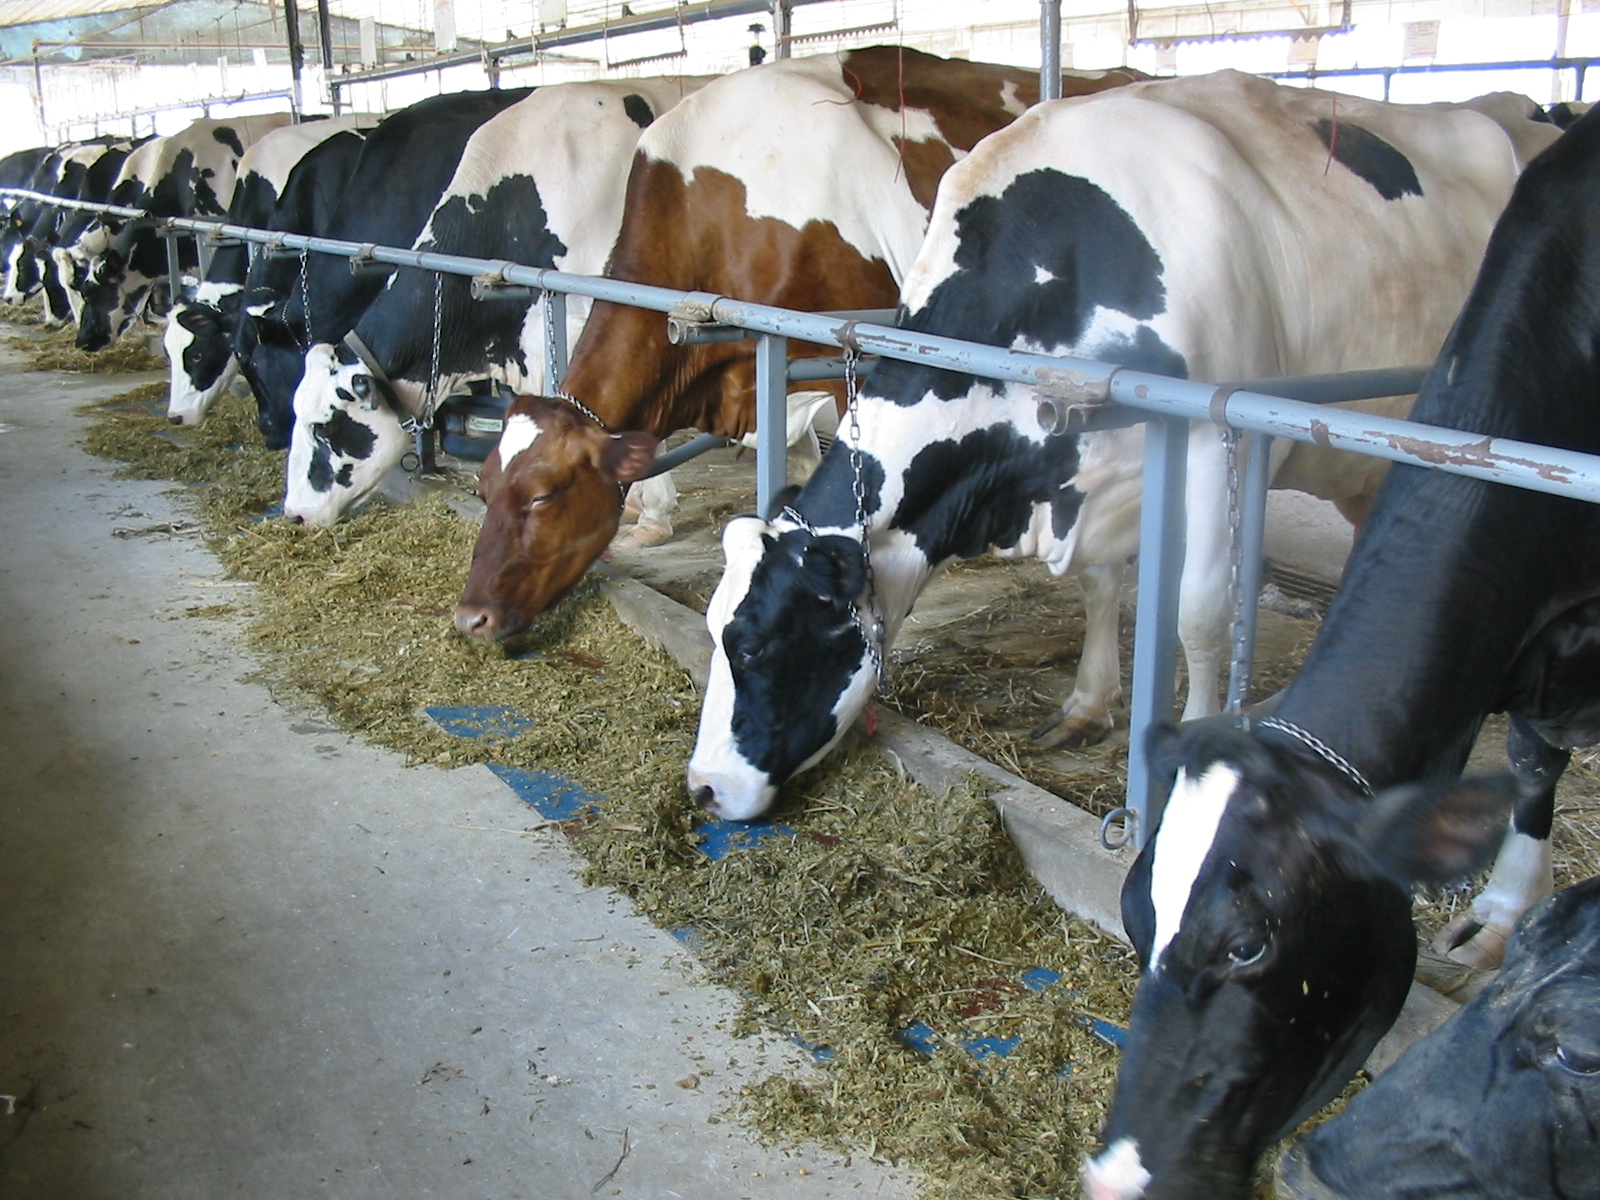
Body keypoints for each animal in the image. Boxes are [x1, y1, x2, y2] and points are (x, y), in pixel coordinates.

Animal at [678, 70, 1559, 826]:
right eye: (713, 629)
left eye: (753, 643)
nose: (702, 789)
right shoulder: (1088, 479)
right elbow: (1101, 585)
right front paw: (1086, 705)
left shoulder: (1213, 443)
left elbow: (1200, 620)